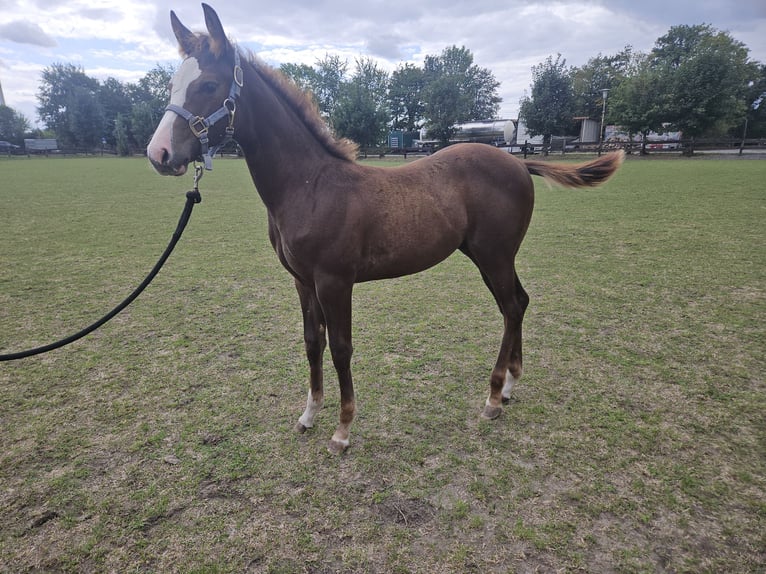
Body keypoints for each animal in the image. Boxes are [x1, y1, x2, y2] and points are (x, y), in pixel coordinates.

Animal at [147, 4, 624, 454]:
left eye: (209, 85)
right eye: (173, 84)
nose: (159, 153)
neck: (310, 184)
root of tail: (519, 162)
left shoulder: (334, 281)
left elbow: (341, 348)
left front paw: (342, 431)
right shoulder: (302, 281)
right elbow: (313, 342)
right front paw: (308, 415)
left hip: (494, 255)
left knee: (510, 307)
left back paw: (491, 399)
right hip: (489, 256)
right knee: (519, 303)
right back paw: (508, 388)